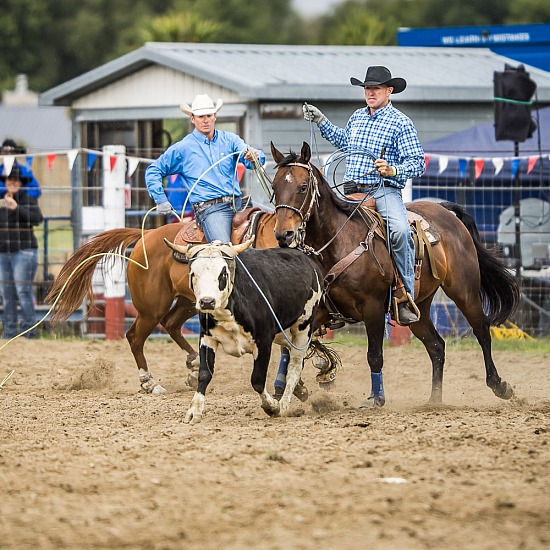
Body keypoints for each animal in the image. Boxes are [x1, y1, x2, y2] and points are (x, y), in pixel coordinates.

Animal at [272, 141, 520, 410]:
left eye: (302, 187)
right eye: (274, 187)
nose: (283, 234)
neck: (337, 243)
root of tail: (446, 211)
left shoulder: (372, 308)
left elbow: (374, 355)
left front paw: (376, 398)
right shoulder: (317, 311)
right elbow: (289, 348)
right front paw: (285, 389)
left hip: (464, 291)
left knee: (482, 330)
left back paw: (499, 385)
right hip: (418, 307)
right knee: (436, 346)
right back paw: (434, 400)